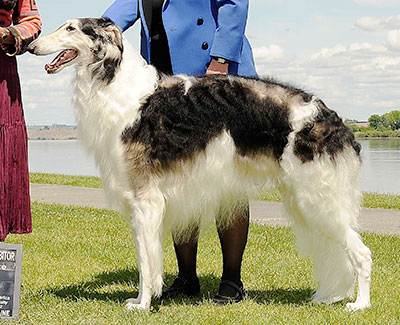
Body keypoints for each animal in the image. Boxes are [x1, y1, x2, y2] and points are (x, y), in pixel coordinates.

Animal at [28, 18, 372, 312]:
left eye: (71, 28)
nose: (31, 46)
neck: (118, 85)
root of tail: (333, 119)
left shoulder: (145, 199)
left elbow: (146, 261)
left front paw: (143, 304)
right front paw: (146, 298)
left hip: (317, 199)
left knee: (362, 254)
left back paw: (360, 304)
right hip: (303, 199)